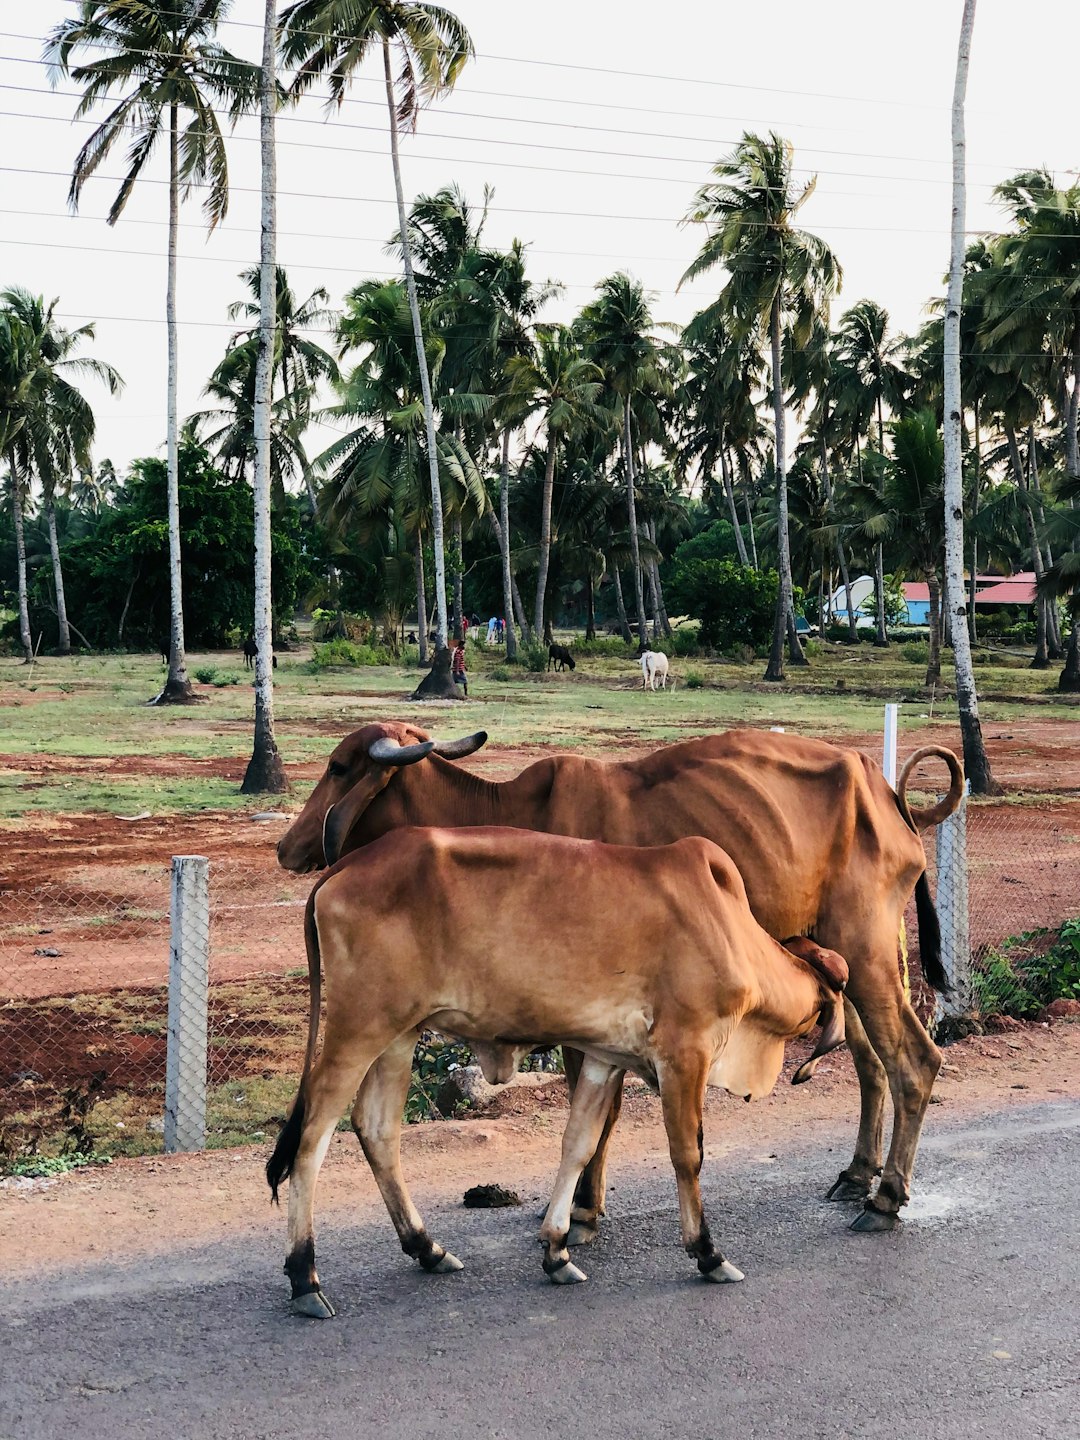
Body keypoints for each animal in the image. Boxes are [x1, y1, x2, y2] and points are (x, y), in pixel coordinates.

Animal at [266, 823, 852, 1319]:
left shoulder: (605, 1057)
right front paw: (707, 1253)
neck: (729, 930)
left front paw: (557, 1250)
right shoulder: (684, 1052)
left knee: (377, 1128)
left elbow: (579, 1145)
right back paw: (305, 1278)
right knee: (312, 1137)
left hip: (400, 1035)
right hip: (359, 1028)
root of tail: (347, 864)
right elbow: (688, 1155)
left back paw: (427, 1248)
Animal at [276, 725, 961, 1232]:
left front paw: (582, 1208)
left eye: (340, 766)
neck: (509, 809)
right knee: (873, 1060)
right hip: (858, 954)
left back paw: (886, 1198)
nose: (287, 847)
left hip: (868, 950)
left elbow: (595, 1112)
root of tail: (888, 794)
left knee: (913, 1059)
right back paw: (858, 1175)